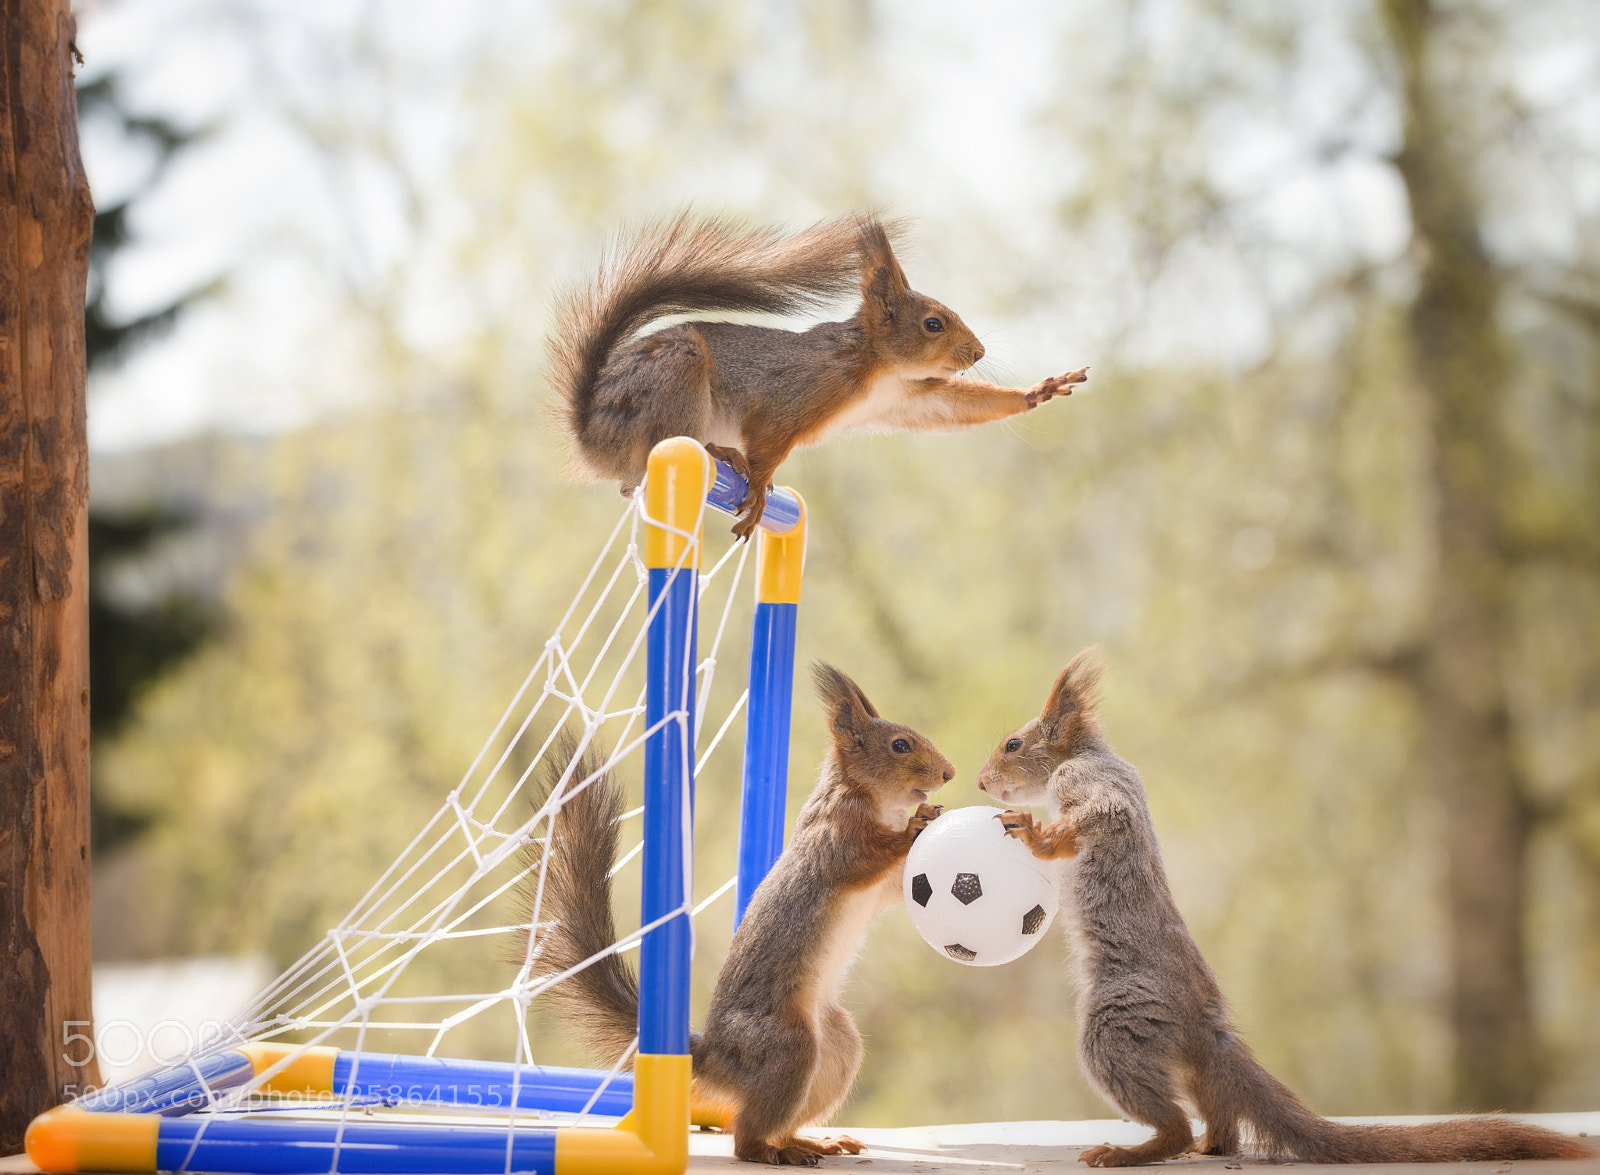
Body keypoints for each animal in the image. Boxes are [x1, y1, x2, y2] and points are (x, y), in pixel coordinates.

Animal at [522, 664, 953, 1165]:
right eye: (900, 745)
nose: (949, 772)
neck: (866, 796)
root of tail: (716, 1057)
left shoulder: (877, 885)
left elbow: (893, 887)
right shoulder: (836, 838)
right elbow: (867, 856)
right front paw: (916, 824)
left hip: (838, 1045)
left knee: (781, 1121)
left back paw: (811, 1141)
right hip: (788, 1046)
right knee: (745, 1136)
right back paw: (773, 1151)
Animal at [548, 212, 1088, 538]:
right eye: (933, 323)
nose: (978, 352)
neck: (875, 366)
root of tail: (592, 439)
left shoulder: (905, 397)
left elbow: (954, 407)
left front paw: (1038, 391)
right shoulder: (795, 396)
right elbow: (767, 442)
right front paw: (759, 487)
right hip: (676, 377)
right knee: (652, 458)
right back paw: (719, 452)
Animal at [977, 650, 1595, 1168]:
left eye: (1013, 745)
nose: (982, 782)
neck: (1085, 755)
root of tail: (1202, 1022)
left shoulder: (1093, 786)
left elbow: (1094, 816)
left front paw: (1035, 834)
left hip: (1115, 1029)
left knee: (1172, 1122)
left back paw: (1132, 1151)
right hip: (1179, 1058)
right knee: (1220, 1120)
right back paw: (1207, 1146)